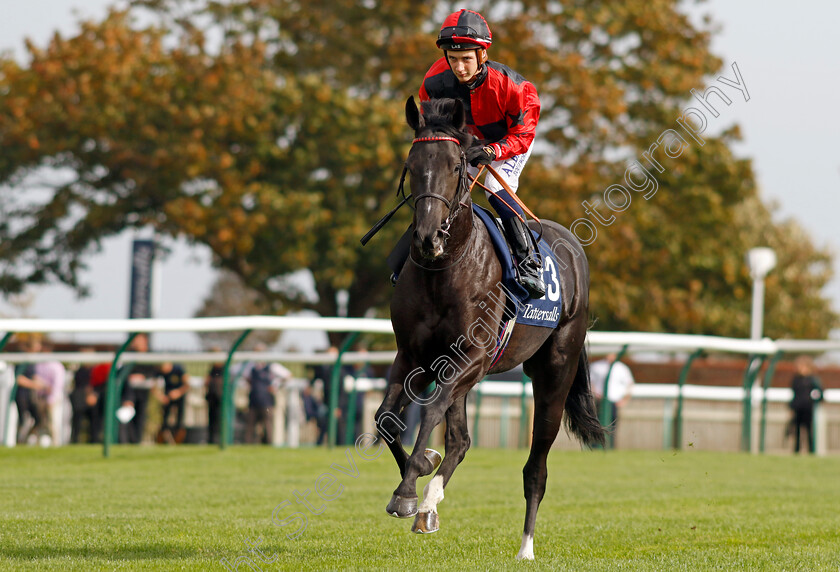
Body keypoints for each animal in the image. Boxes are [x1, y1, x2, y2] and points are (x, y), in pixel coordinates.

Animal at [374, 96, 604, 560]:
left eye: (455, 166)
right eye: (412, 163)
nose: (427, 238)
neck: (446, 267)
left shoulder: (474, 356)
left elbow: (430, 412)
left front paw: (409, 489)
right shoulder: (413, 355)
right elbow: (387, 418)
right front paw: (417, 480)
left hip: (554, 371)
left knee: (536, 467)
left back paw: (526, 548)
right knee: (461, 440)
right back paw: (430, 505)